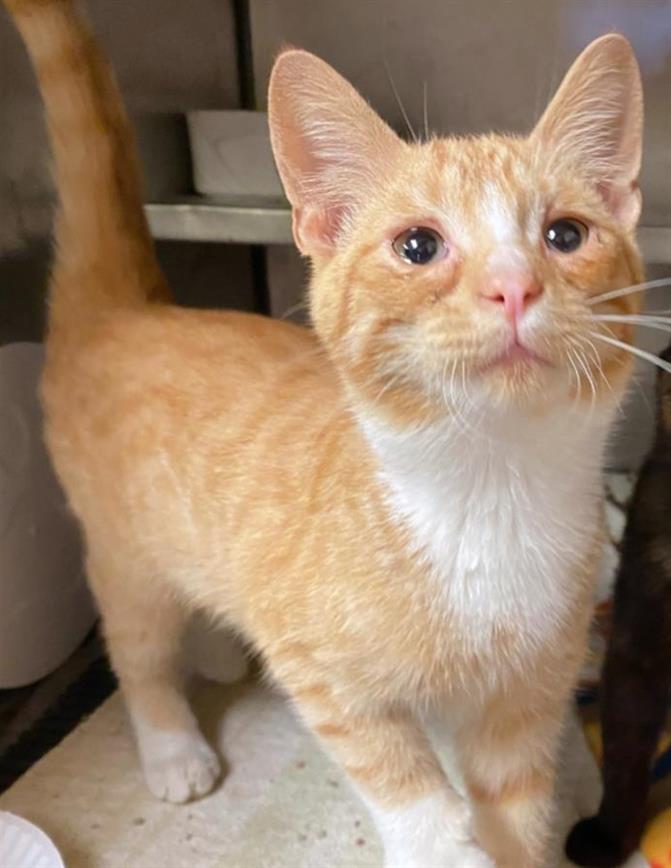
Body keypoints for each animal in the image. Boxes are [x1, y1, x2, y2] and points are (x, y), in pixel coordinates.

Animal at [2, 1, 648, 868]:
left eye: (566, 235)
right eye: (418, 246)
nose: (512, 286)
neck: (488, 489)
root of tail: (127, 309)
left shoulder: (524, 697)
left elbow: (515, 804)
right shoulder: (320, 671)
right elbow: (399, 776)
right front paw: (439, 845)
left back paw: (217, 645)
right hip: (123, 548)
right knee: (136, 644)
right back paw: (172, 744)